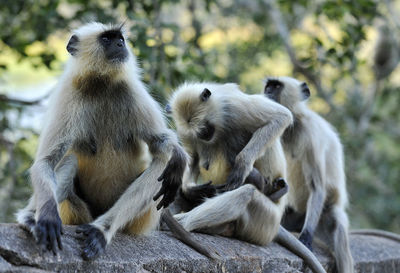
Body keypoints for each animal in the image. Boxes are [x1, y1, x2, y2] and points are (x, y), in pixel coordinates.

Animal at [16, 21, 198, 260]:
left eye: (119, 38)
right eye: (106, 39)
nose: (121, 44)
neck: (101, 82)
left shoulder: (133, 90)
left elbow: (161, 143)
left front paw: (179, 154)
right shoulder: (69, 93)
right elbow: (45, 162)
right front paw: (45, 218)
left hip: (140, 220)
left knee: (163, 164)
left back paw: (100, 230)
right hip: (77, 211)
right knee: (68, 161)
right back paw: (30, 219)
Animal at [167, 82, 326, 272]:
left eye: (205, 128)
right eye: (200, 133)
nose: (205, 136)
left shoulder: (232, 108)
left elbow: (281, 116)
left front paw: (242, 165)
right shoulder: (186, 131)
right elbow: (193, 159)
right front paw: (191, 189)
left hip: (266, 219)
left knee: (247, 192)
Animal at [264, 76, 354, 272]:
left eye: (276, 86)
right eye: (268, 86)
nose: (267, 92)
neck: (293, 125)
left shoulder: (310, 133)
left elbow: (317, 186)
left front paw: (306, 237)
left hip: (322, 215)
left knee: (337, 226)